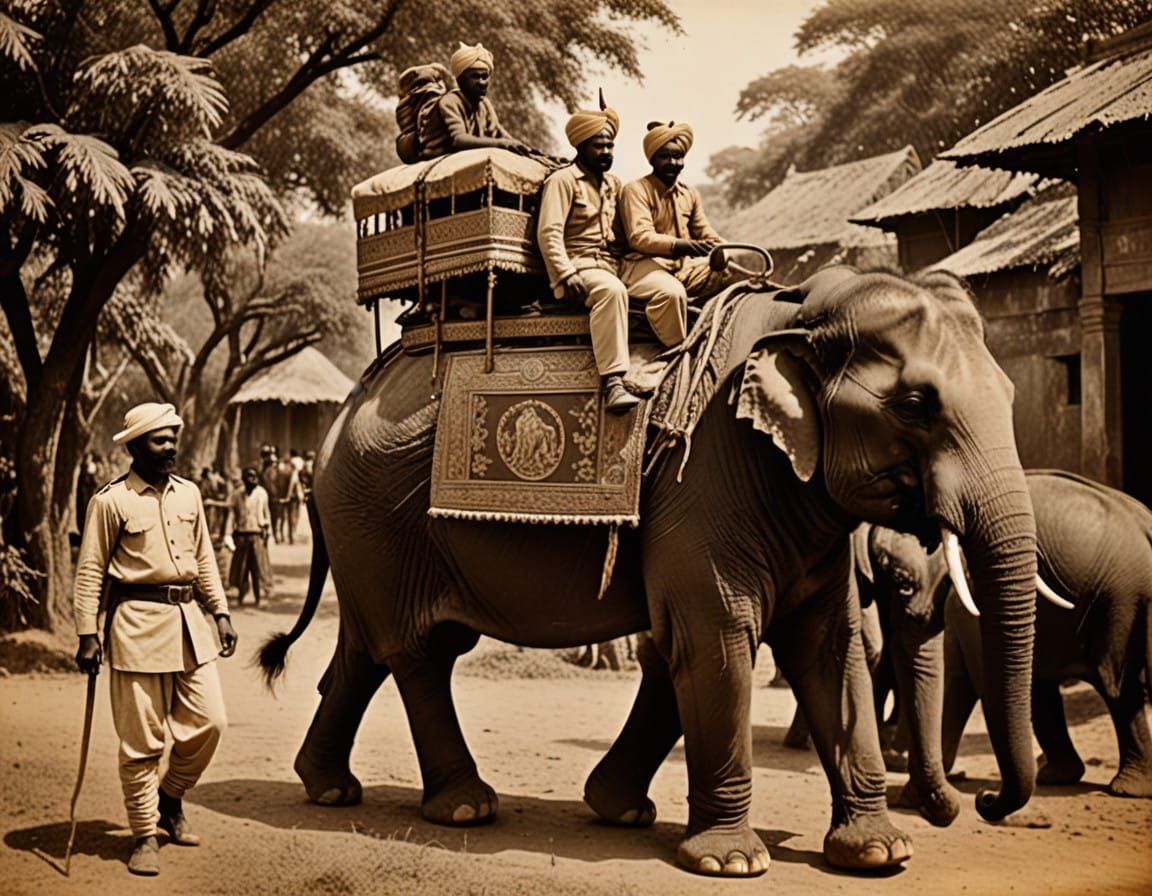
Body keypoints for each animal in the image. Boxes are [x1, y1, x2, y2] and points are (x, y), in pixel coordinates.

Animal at [259, 265, 1040, 878]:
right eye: (916, 405)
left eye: (1011, 394)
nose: (981, 802)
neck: (799, 306)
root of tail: (346, 406)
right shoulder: (708, 475)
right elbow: (717, 636)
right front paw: (732, 861)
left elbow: (823, 646)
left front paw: (877, 853)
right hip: (377, 513)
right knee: (418, 651)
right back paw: (463, 807)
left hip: (371, 528)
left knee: (370, 649)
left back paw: (328, 788)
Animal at [872, 470, 1152, 827]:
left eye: (903, 582)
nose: (985, 797)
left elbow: (969, 681)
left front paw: (913, 798)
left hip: (1120, 602)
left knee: (1117, 687)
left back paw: (1125, 789)